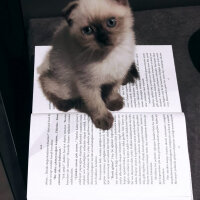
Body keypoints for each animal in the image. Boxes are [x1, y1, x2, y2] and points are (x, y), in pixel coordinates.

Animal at [39, 0, 139, 130]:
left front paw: (113, 102)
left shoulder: (118, 75)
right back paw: (64, 104)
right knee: (45, 80)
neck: (109, 55)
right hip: (67, 88)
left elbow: (112, 91)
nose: (102, 38)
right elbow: (96, 103)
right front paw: (103, 119)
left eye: (111, 22)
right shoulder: (88, 85)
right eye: (88, 30)